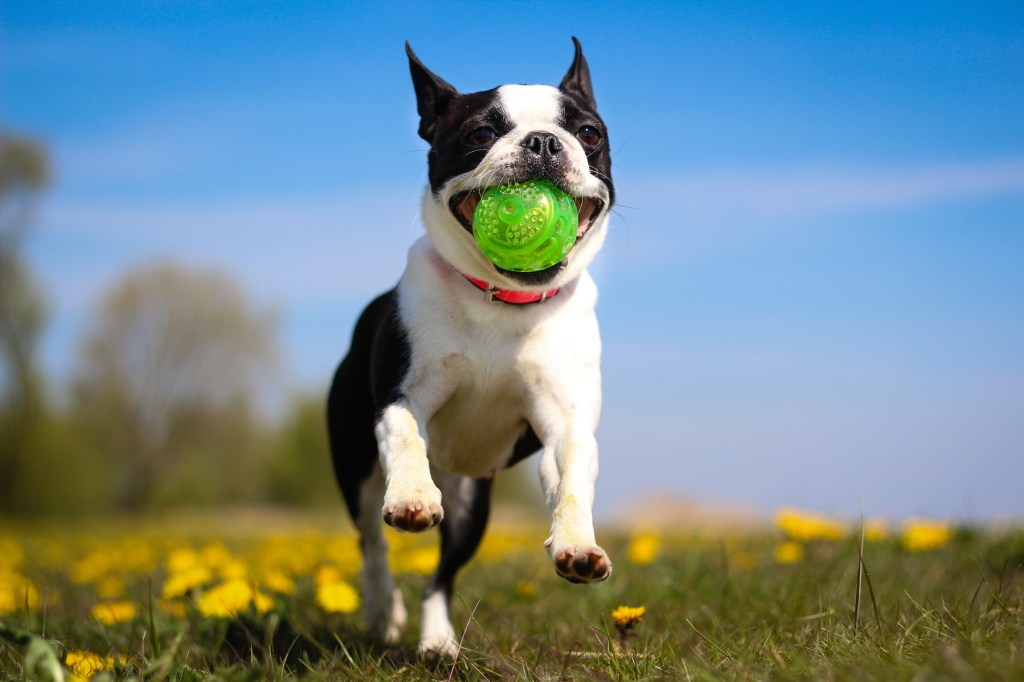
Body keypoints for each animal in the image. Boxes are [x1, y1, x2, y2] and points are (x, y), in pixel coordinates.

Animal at [327, 38, 614, 655]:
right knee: (371, 542)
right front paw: (412, 497)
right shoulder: (401, 398)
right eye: (481, 133)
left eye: (589, 132)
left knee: (441, 576)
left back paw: (436, 641)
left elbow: (572, 482)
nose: (543, 141)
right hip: (354, 464)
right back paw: (383, 611)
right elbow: (406, 439)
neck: (503, 303)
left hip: (471, 505)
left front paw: (578, 546)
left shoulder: (565, 425)